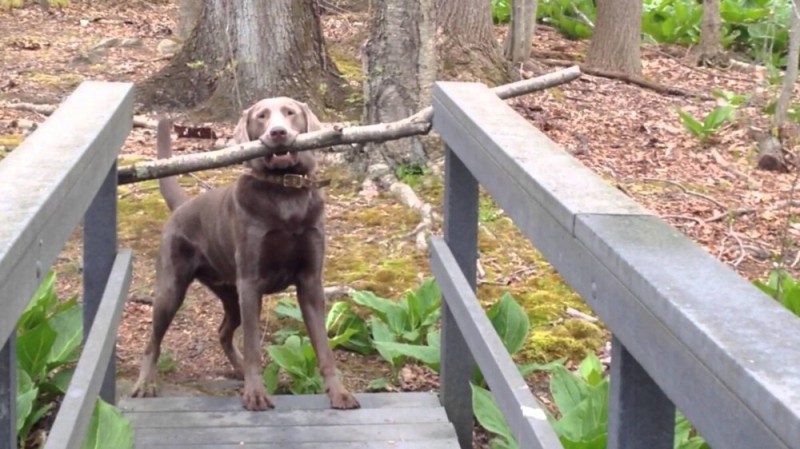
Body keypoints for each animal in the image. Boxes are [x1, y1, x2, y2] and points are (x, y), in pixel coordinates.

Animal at [130, 97, 360, 410]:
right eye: (261, 116)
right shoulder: (251, 283)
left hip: (230, 294)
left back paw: (237, 368)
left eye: (290, 113)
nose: (278, 132)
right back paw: (145, 383)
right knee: (153, 340)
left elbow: (323, 347)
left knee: (223, 331)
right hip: (171, 289)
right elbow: (253, 346)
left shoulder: (311, 281)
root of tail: (182, 206)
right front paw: (256, 394)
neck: (285, 194)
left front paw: (339, 393)